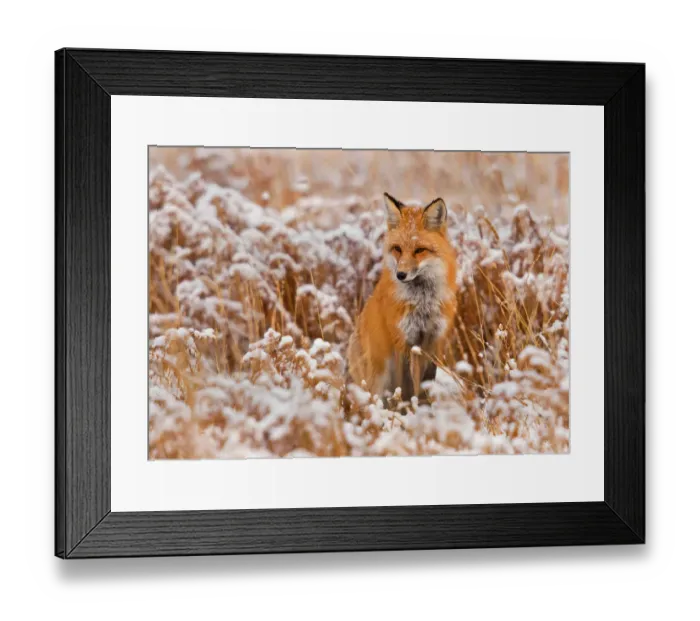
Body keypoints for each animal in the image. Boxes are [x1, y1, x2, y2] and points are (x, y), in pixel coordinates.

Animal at [347, 193, 458, 401]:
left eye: (419, 250)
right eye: (397, 249)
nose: (401, 274)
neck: (423, 302)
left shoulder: (433, 341)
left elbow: (426, 385)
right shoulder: (403, 341)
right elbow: (405, 387)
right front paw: (407, 407)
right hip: (378, 376)